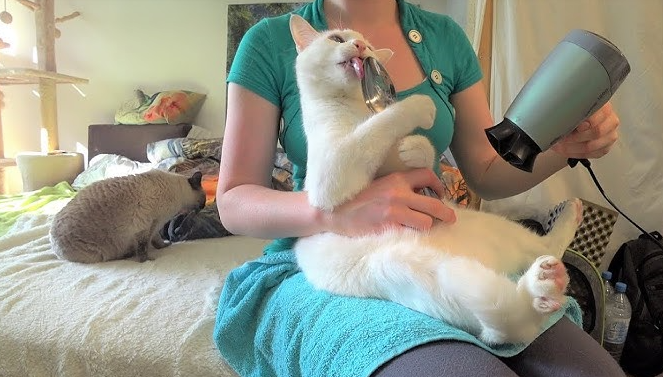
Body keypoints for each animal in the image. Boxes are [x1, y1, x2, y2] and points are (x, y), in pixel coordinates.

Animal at [50, 169, 205, 262]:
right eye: (204, 199)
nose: (204, 207)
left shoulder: (156, 225)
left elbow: (157, 241)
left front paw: (164, 246)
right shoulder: (145, 227)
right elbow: (143, 247)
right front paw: (147, 260)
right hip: (100, 253)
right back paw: (127, 255)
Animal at [290, 13, 580, 344]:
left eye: (371, 47)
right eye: (337, 39)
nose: (361, 47)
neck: (356, 108)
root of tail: (496, 261)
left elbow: (415, 148)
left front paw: (414, 148)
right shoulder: (330, 170)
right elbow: (376, 128)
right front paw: (418, 106)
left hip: (493, 239)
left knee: (540, 262)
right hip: (409, 270)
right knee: (507, 325)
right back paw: (543, 284)